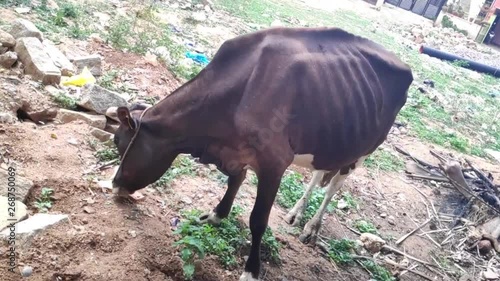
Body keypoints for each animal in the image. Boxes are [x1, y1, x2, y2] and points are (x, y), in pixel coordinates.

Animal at [110, 26, 414, 280]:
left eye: (119, 143)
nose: (115, 185)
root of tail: (402, 63)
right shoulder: (236, 152)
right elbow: (234, 182)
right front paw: (216, 215)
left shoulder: (274, 163)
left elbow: (258, 221)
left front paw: (251, 270)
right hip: (330, 141)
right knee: (318, 175)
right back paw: (295, 214)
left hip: (361, 152)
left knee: (333, 188)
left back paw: (312, 227)